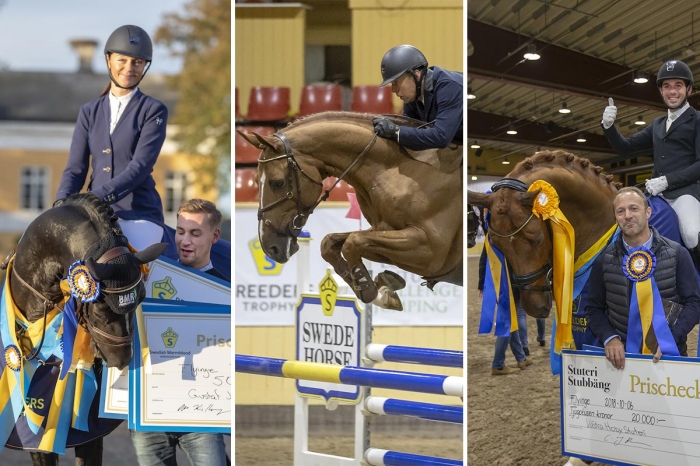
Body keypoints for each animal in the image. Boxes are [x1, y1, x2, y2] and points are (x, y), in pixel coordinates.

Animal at [237, 111, 463, 311]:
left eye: (277, 183)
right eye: (256, 181)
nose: (270, 248)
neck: (401, 169)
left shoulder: (429, 251)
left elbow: (353, 242)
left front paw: (372, 291)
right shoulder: (383, 229)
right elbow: (332, 242)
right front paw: (383, 288)